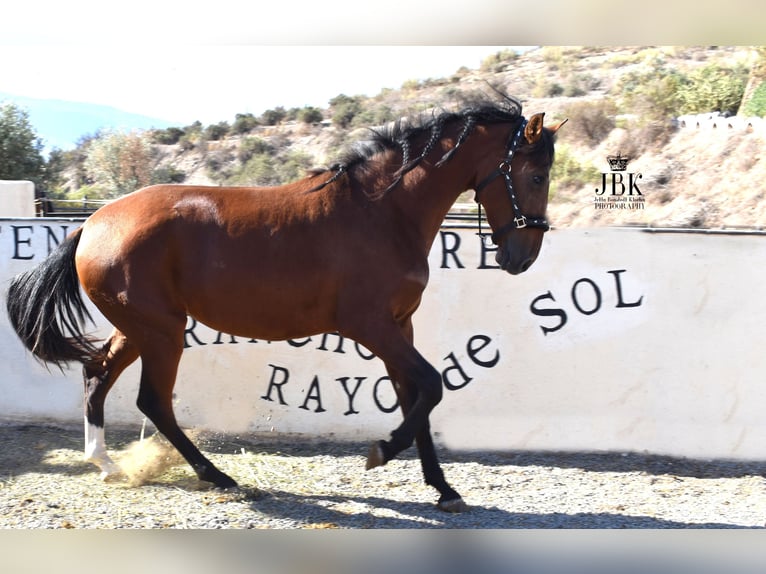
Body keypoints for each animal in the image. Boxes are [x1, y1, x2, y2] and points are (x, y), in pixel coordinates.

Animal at [4, 94, 564, 512]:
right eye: (536, 176)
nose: (522, 257)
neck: (382, 212)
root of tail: (91, 224)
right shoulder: (371, 326)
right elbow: (431, 385)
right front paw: (380, 452)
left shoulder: (400, 327)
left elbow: (417, 399)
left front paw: (444, 490)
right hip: (162, 332)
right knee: (151, 400)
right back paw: (217, 476)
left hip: (139, 328)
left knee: (97, 373)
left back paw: (107, 465)